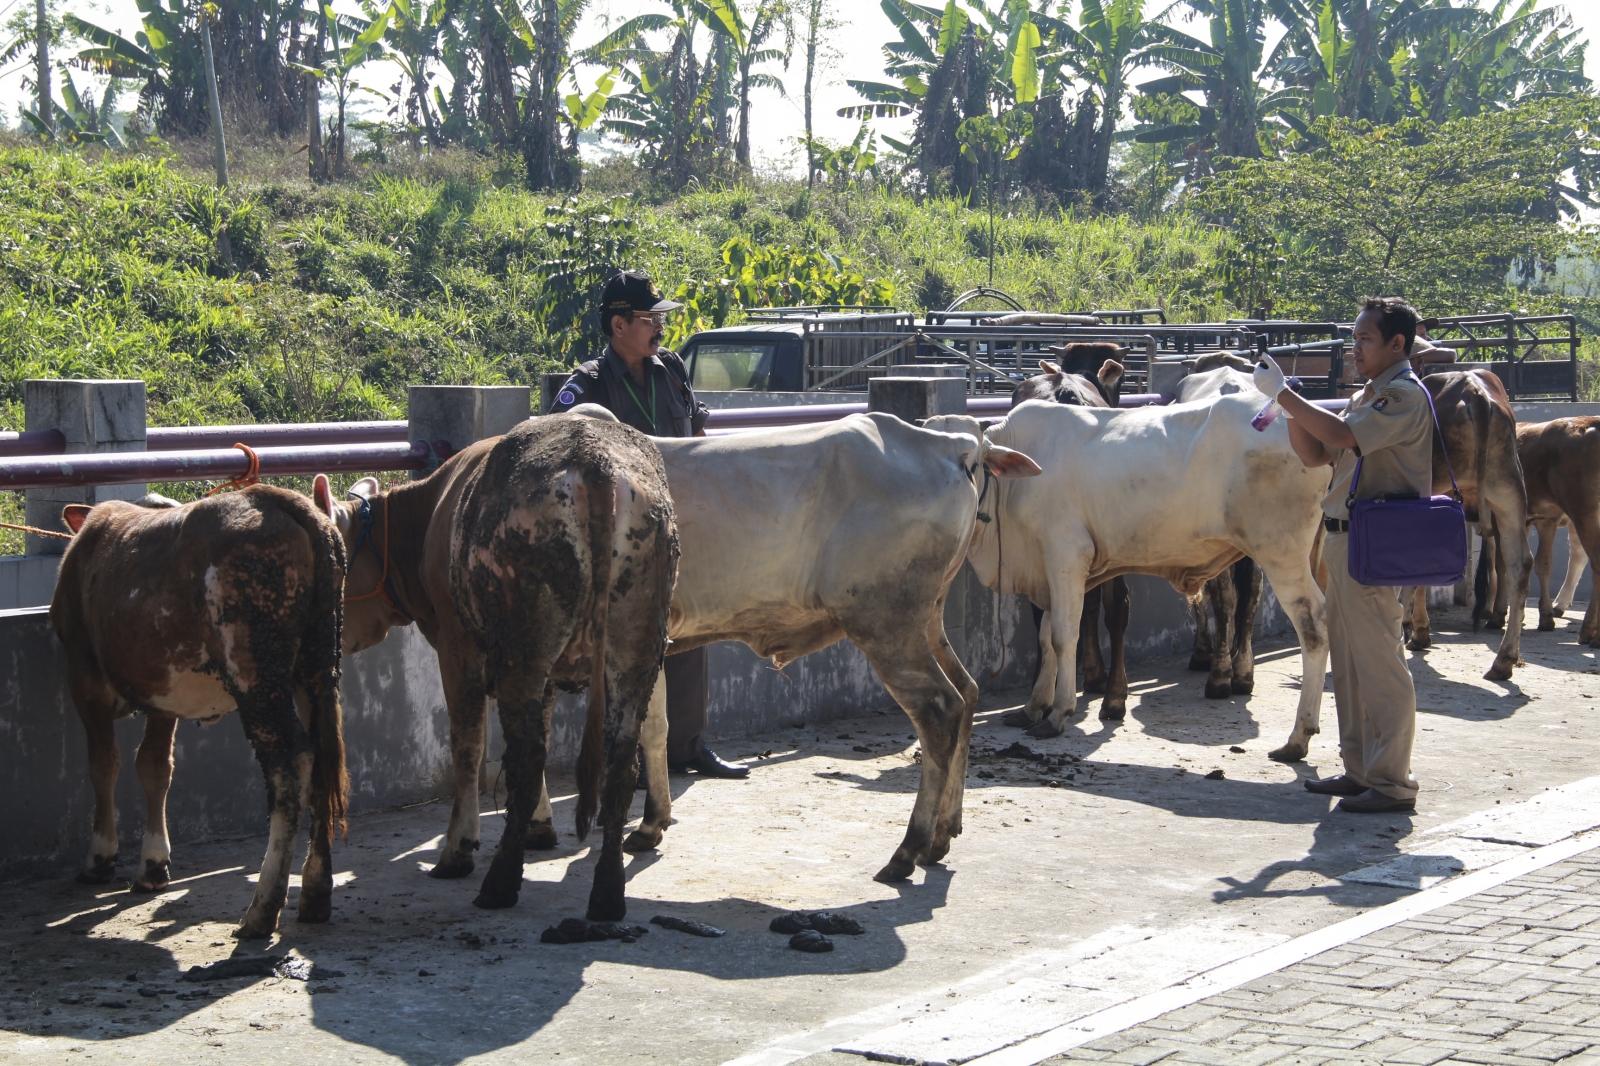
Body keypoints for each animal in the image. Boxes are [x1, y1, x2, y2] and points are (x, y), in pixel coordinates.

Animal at [52, 486, 347, 934]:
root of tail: (273, 497)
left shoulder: (85, 680)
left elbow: (104, 765)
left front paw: (99, 857)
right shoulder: (163, 692)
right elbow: (154, 767)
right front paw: (153, 864)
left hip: (257, 675)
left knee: (293, 762)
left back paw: (262, 909)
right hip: (315, 669)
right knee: (322, 762)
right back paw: (315, 893)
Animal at [318, 408, 675, 921]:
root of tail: (595, 461)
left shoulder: (457, 644)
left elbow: (467, 746)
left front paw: (458, 847)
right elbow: (540, 725)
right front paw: (540, 827)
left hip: (524, 641)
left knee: (525, 760)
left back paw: (500, 882)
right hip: (635, 643)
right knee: (620, 762)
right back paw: (607, 893)